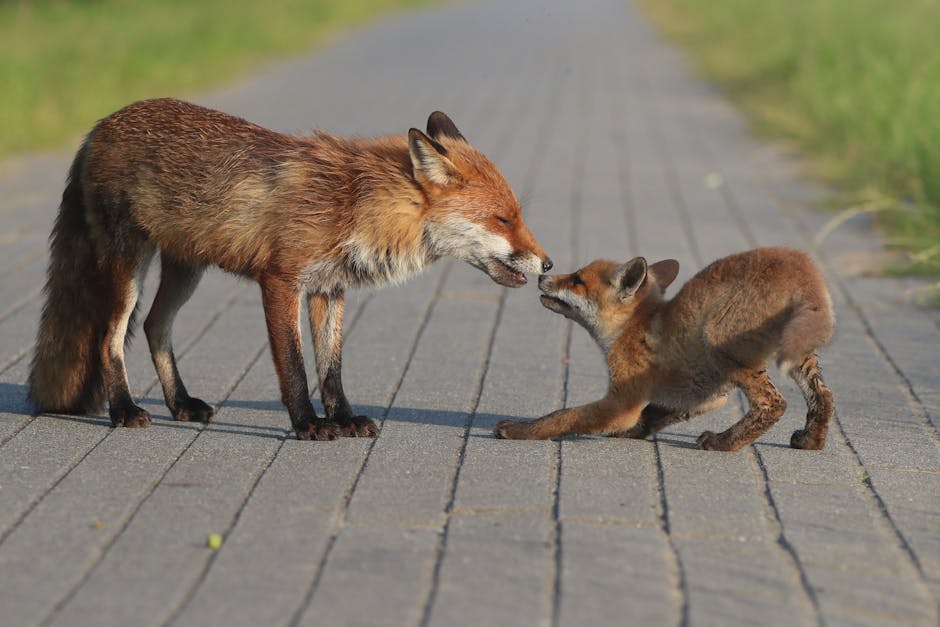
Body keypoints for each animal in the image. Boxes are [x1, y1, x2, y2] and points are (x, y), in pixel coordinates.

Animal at [28, 98, 552, 441]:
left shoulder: (329, 288)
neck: (354, 203)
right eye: (502, 219)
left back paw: (180, 404)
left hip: (186, 269)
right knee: (110, 338)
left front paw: (344, 419)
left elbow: (331, 369)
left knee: (156, 328)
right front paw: (308, 424)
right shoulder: (280, 281)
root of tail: (100, 124)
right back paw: (123, 409)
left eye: (516, 215)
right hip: (129, 267)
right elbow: (295, 367)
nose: (548, 263)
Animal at [494, 247, 835, 451]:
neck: (633, 326)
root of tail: (800, 262)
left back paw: (723, 443)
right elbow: (651, 415)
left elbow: (562, 416)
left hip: (720, 343)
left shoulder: (622, 402)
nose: (543, 274)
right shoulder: (706, 396)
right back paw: (811, 440)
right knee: (825, 397)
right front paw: (632, 433)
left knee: (773, 404)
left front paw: (518, 430)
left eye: (577, 279)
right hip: (800, 356)